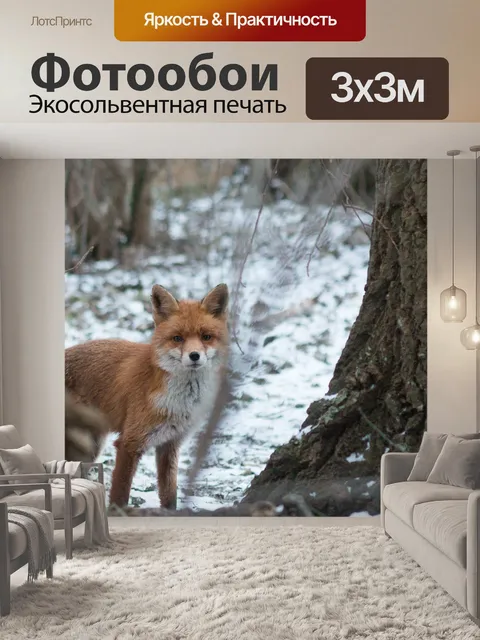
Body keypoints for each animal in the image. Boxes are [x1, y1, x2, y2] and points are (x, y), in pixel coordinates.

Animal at [65, 283, 229, 510]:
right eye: (177, 338)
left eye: (206, 336)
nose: (194, 356)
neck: (179, 403)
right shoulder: (129, 442)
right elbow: (120, 495)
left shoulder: (170, 444)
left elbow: (169, 495)